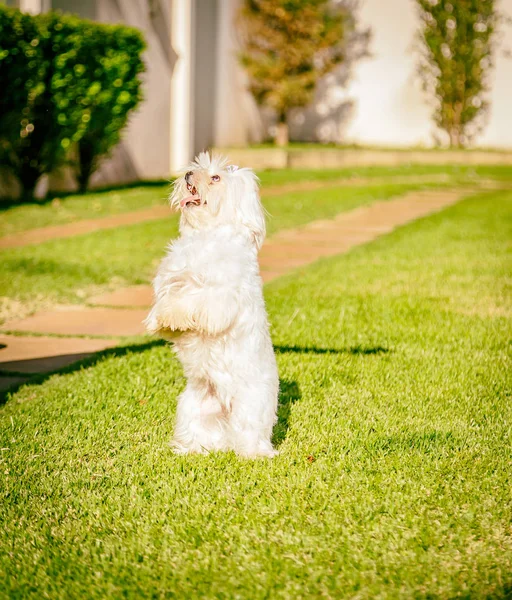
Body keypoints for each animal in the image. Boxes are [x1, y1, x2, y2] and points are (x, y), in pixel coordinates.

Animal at [144, 152, 280, 458]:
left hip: (250, 409)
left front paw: (173, 314)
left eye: (216, 177)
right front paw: (159, 318)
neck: (207, 235)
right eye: (196, 168)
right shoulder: (171, 276)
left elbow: (191, 301)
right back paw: (189, 450)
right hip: (191, 408)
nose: (187, 175)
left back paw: (253, 454)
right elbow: (166, 296)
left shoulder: (219, 298)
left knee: (249, 436)